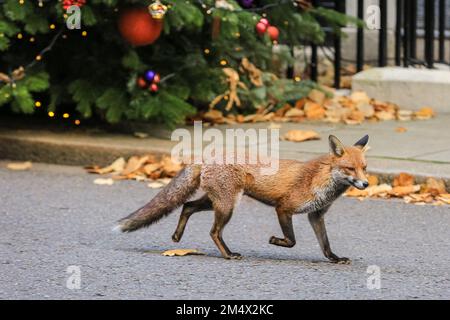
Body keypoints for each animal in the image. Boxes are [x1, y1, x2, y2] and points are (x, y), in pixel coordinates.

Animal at [116, 134, 370, 262]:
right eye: (350, 169)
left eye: (364, 168)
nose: (366, 184)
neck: (321, 179)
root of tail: (207, 155)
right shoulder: (284, 208)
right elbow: (291, 241)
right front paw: (274, 241)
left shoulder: (316, 215)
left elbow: (325, 244)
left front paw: (334, 258)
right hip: (227, 206)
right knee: (213, 231)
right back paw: (228, 254)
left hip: (215, 202)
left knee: (187, 206)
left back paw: (177, 236)